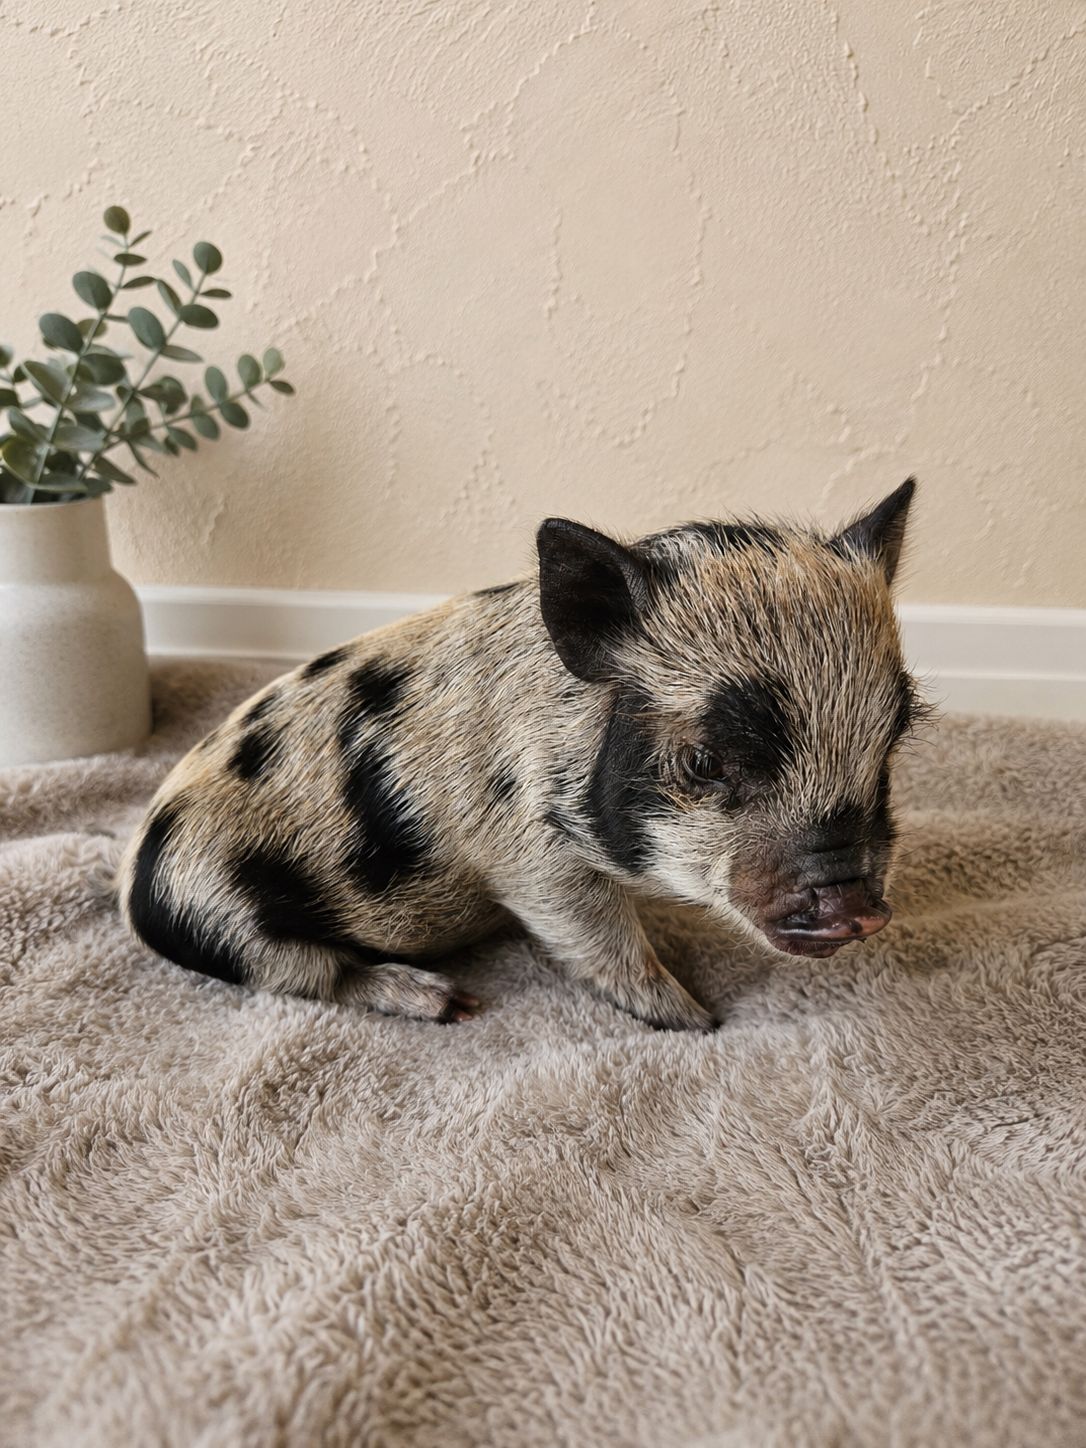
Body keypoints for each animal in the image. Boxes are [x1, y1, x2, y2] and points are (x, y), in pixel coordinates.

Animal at [118, 479, 925, 1031]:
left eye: (888, 745)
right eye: (703, 761)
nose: (858, 910)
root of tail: (132, 878)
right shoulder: (526, 856)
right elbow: (599, 940)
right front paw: (698, 1020)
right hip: (218, 913)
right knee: (305, 973)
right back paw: (446, 1003)